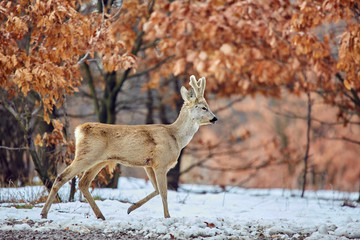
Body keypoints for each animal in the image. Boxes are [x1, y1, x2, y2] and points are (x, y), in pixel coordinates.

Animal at [40, 75, 218, 219]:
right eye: (204, 107)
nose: (215, 118)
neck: (175, 137)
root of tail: (80, 130)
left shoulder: (148, 164)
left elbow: (156, 190)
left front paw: (130, 209)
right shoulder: (160, 162)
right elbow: (164, 192)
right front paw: (167, 217)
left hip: (99, 160)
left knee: (83, 183)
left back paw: (100, 215)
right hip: (86, 154)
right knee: (62, 177)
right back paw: (44, 213)